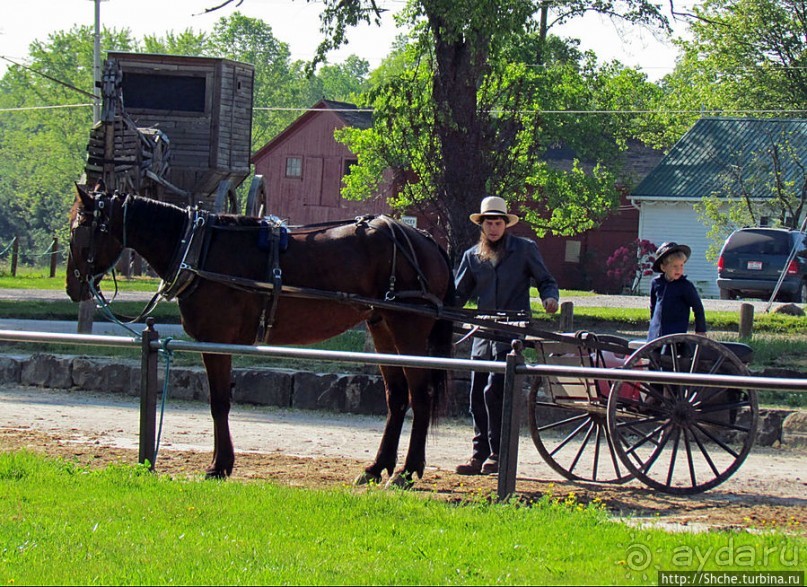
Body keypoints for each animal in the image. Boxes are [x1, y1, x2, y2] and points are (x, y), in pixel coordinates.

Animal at [66, 187, 458, 486]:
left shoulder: (216, 340)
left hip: (407, 329)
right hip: (382, 328)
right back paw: (377, 468)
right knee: (397, 398)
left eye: (79, 231)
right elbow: (220, 402)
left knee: (420, 396)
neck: (198, 247)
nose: (73, 287)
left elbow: (219, 402)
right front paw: (221, 462)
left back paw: (408, 472)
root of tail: (425, 240)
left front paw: (219, 465)